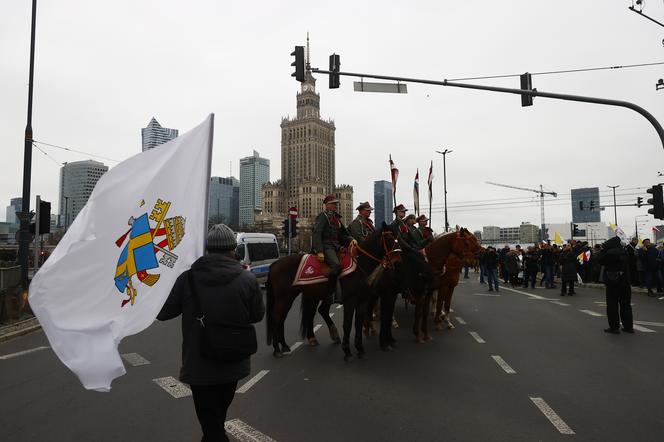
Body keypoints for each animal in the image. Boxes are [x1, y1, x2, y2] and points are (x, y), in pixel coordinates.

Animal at [264, 224, 400, 360]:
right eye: (389, 237)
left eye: (398, 237)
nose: (397, 260)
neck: (360, 265)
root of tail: (274, 264)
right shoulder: (350, 300)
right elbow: (347, 324)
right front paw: (347, 352)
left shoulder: (363, 300)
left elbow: (358, 323)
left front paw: (360, 349)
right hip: (283, 297)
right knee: (276, 318)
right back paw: (277, 349)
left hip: (291, 296)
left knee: (283, 318)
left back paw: (285, 345)